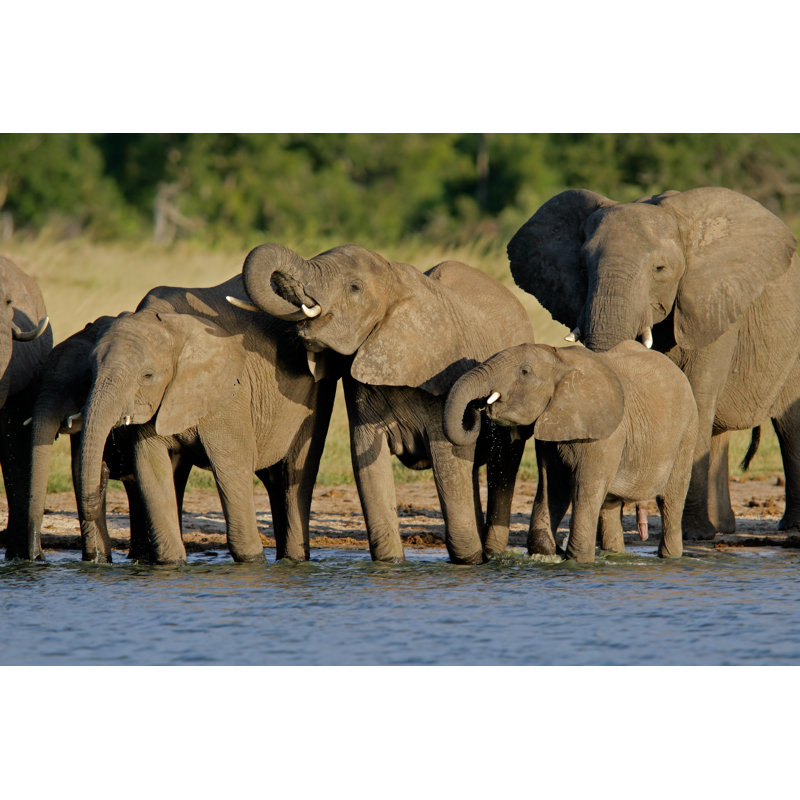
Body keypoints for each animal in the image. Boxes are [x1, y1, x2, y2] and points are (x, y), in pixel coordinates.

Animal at [77, 274, 338, 564]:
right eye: (90, 371)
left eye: (147, 376)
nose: (104, 472)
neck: (171, 325)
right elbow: (151, 467)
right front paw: (171, 563)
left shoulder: (228, 394)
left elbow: (232, 465)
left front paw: (252, 562)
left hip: (317, 392)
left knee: (293, 473)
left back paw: (294, 560)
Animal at [231, 243, 535, 564]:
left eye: (354, 287)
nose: (476, 411)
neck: (396, 281)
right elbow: (368, 464)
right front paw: (391, 563)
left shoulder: (443, 373)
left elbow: (449, 462)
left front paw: (468, 562)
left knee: (504, 467)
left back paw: (492, 554)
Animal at [444, 341, 699, 562]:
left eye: (525, 372)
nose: (477, 408)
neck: (562, 361)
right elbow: (554, 486)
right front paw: (552, 552)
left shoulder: (606, 435)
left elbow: (583, 488)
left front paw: (578, 561)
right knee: (609, 505)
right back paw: (616, 557)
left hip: (686, 433)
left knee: (671, 499)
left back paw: (670, 557)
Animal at [507, 186, 800, 540]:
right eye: (582, 267)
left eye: (660, 269)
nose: (641, 522)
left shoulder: (712, 305)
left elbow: (696, 396)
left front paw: (693, 536)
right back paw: (722, 528)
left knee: (788, 425)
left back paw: (784, 526)